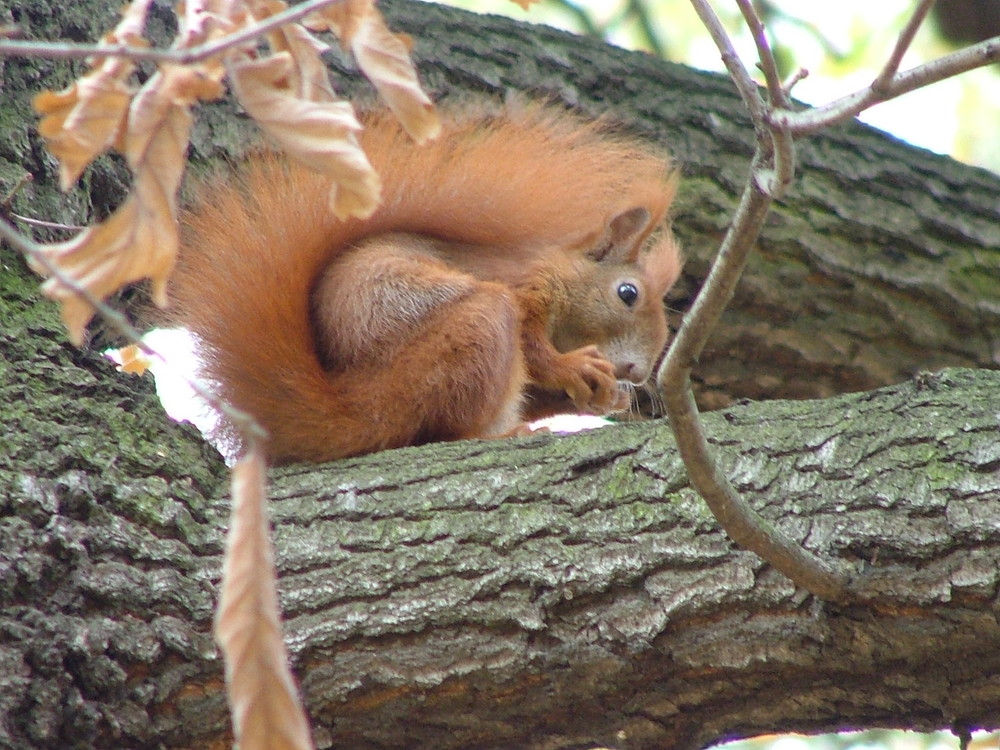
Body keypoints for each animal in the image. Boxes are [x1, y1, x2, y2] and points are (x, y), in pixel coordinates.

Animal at [168, 100, 684, 464]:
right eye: (628, 293)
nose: (637, 372)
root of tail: (355, 405)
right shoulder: (526, 285)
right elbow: (535, 347)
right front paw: (570, 367)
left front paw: (609, 395)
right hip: (469, 331)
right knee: (449, 428)